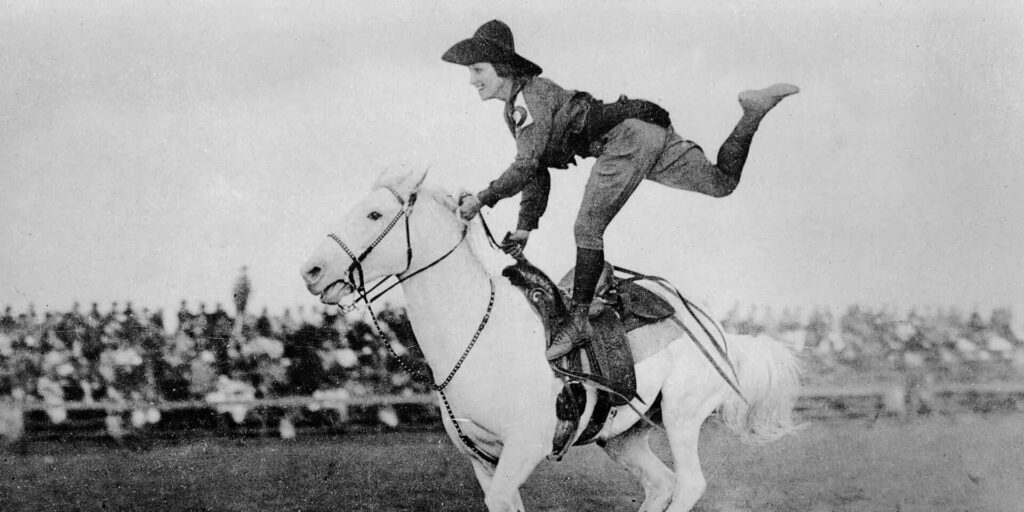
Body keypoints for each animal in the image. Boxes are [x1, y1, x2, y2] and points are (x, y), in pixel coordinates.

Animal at [299, 167, 802, 512]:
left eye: (374, 213)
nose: (312, 270)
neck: (479, 338)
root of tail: (718, 331)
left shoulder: (523, 449)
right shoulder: (483, 460)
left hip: (682, 416)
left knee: (688, 484)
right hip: (623, 436)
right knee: (660, 483)